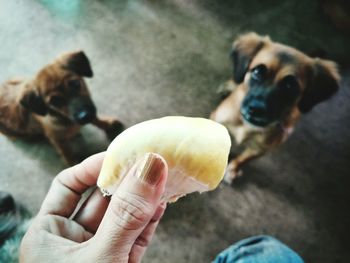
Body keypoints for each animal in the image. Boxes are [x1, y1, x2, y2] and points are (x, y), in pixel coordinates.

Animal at [209, 33, 340, 185]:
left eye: (290, 86)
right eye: (258, 71)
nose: (257, 109)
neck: (246, 125)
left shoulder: (260, 149)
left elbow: (244, 159)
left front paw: (233, 168)